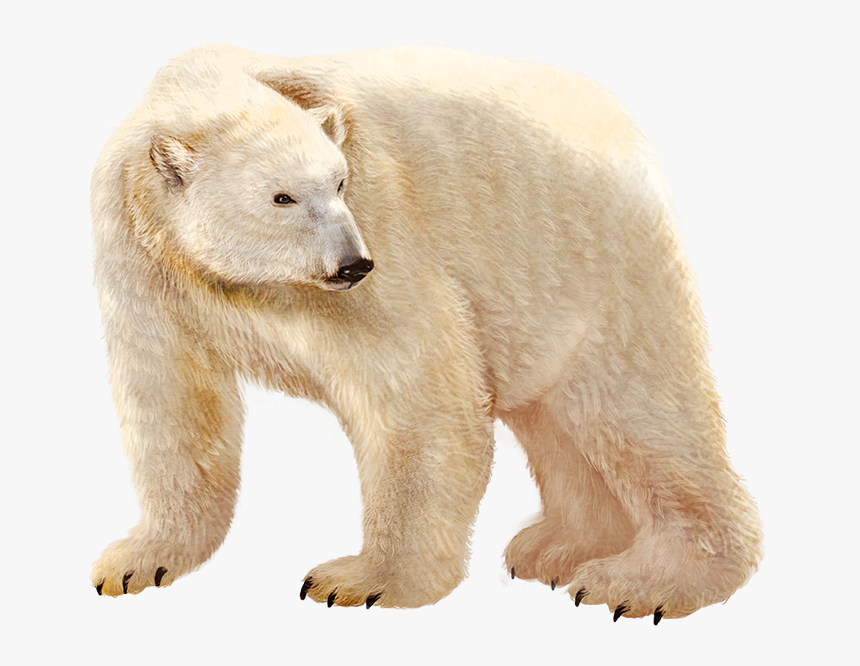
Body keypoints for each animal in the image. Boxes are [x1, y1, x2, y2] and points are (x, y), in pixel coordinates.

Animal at [90, 44, 762, 621]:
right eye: (282, 197)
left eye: (338, 182)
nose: (353, 264)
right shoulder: (141, 255)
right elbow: (171, 401)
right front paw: (138, 561)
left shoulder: (385, 227)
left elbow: (414, 389)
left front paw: (360, 581)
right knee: (552, 418)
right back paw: (559, 547)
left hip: (585, 259)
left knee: (638, 411)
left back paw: (643, 580)